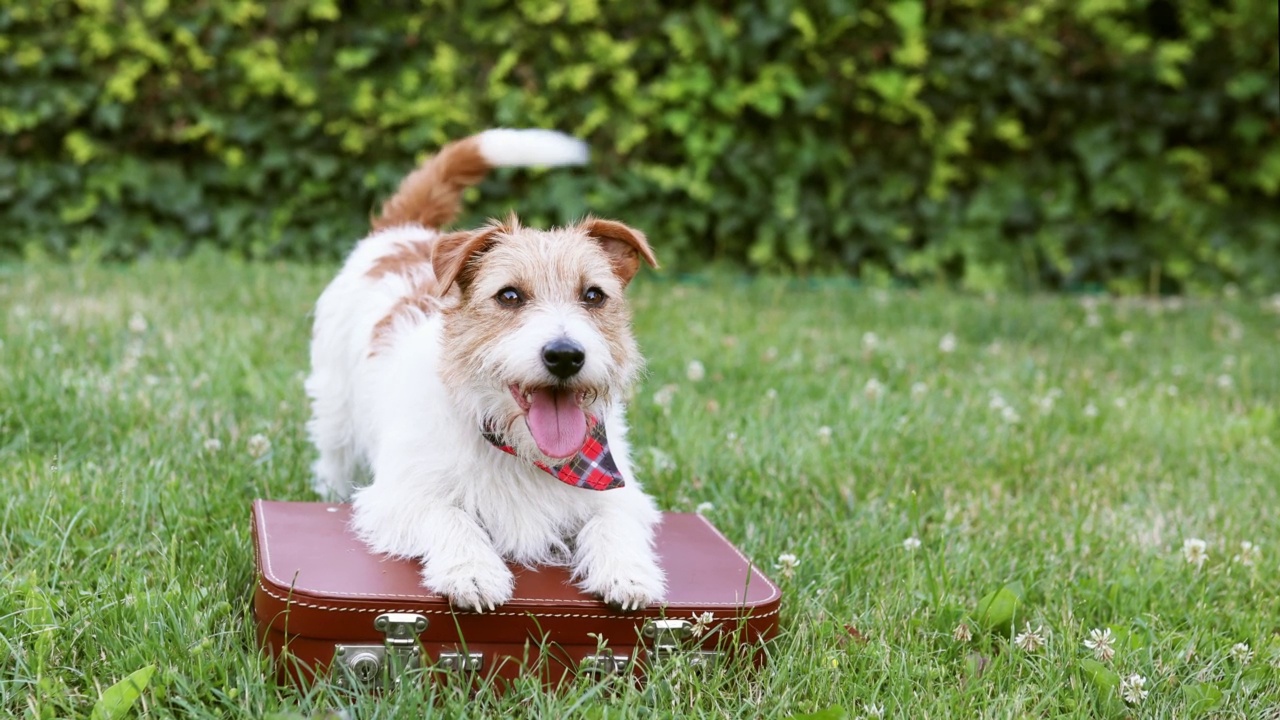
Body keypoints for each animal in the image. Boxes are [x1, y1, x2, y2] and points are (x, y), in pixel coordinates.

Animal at [303, 130, 665, 609]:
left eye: (593, 295)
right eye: (509, 296)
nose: (565, 355)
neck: (520, 450)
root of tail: (402, 233)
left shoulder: (622, 496)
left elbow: (613, 522)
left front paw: (628, 573)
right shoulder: (398, 496)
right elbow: (451, 516)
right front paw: (472, 571)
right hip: (335, 405)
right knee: (333, 454)